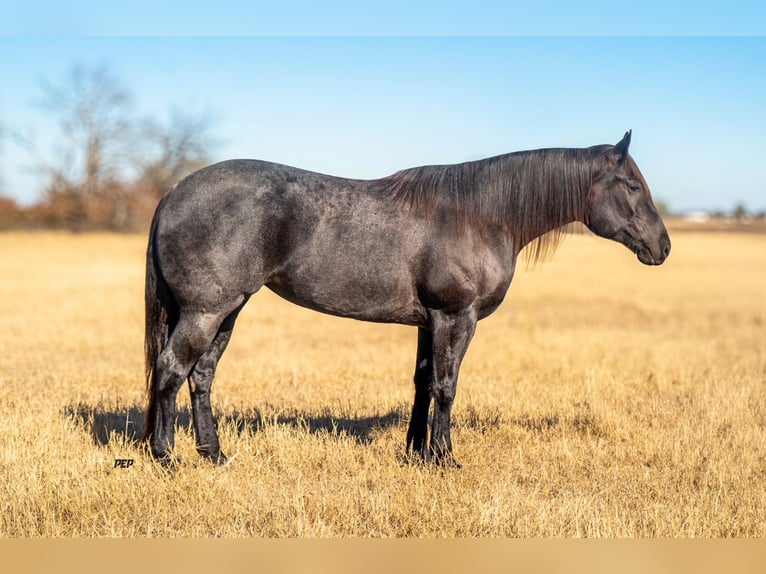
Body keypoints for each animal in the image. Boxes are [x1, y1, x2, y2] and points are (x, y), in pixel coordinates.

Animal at [142, 130, 670, 466]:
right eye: (631, 185)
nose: (663, 247)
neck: (482, 215)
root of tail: (173, 193)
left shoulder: (428, 321)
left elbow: (422, 382)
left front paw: (416, 451)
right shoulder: (456, 316)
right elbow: (446, 386)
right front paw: (444, 458)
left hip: (227, 310)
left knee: (201, 375)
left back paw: (214, 455)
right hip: (206, 311)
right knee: (171, 369)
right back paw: (166, 457)